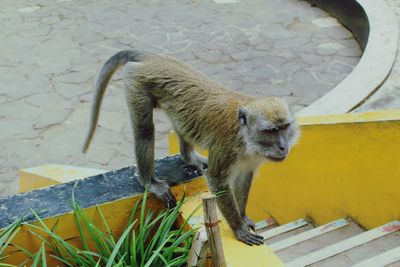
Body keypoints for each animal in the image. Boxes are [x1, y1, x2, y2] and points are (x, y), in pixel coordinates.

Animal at [82, 49, 300, 246]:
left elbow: (244, 178)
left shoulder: (251, 158)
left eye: (284, 127)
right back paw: (148, 181)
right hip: (136, 83)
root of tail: (153, 57)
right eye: (271, 131)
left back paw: (188, 157)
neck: (245, 137)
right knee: (145, 130)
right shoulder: (227, 147)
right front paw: (238, 228)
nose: (283, 146)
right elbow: (217, 181)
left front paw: (243, 216)